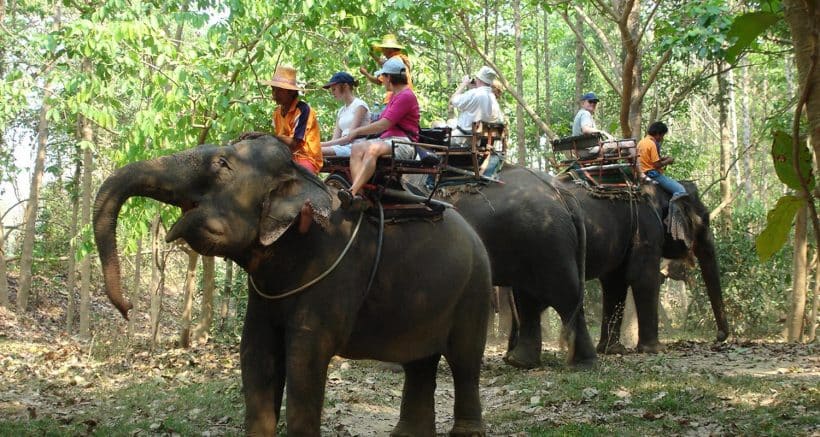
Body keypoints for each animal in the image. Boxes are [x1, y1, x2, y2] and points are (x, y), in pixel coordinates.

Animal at [93, 136, 493, 436]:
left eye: (221, 165)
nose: (127, 308)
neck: (301, 180)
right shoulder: (266, 290)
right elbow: (255, 351)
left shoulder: (333, 274)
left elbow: (305, 357)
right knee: (420, 361)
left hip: (476, 288)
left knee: (464, 359)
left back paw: (468, 432)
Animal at [505, 176, 729, 364]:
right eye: (705, 219)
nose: (719, 338)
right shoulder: (646, 230)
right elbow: (643, 278)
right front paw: (655, 350)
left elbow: (615, 283)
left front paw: (612, 350)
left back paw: (513, 358)